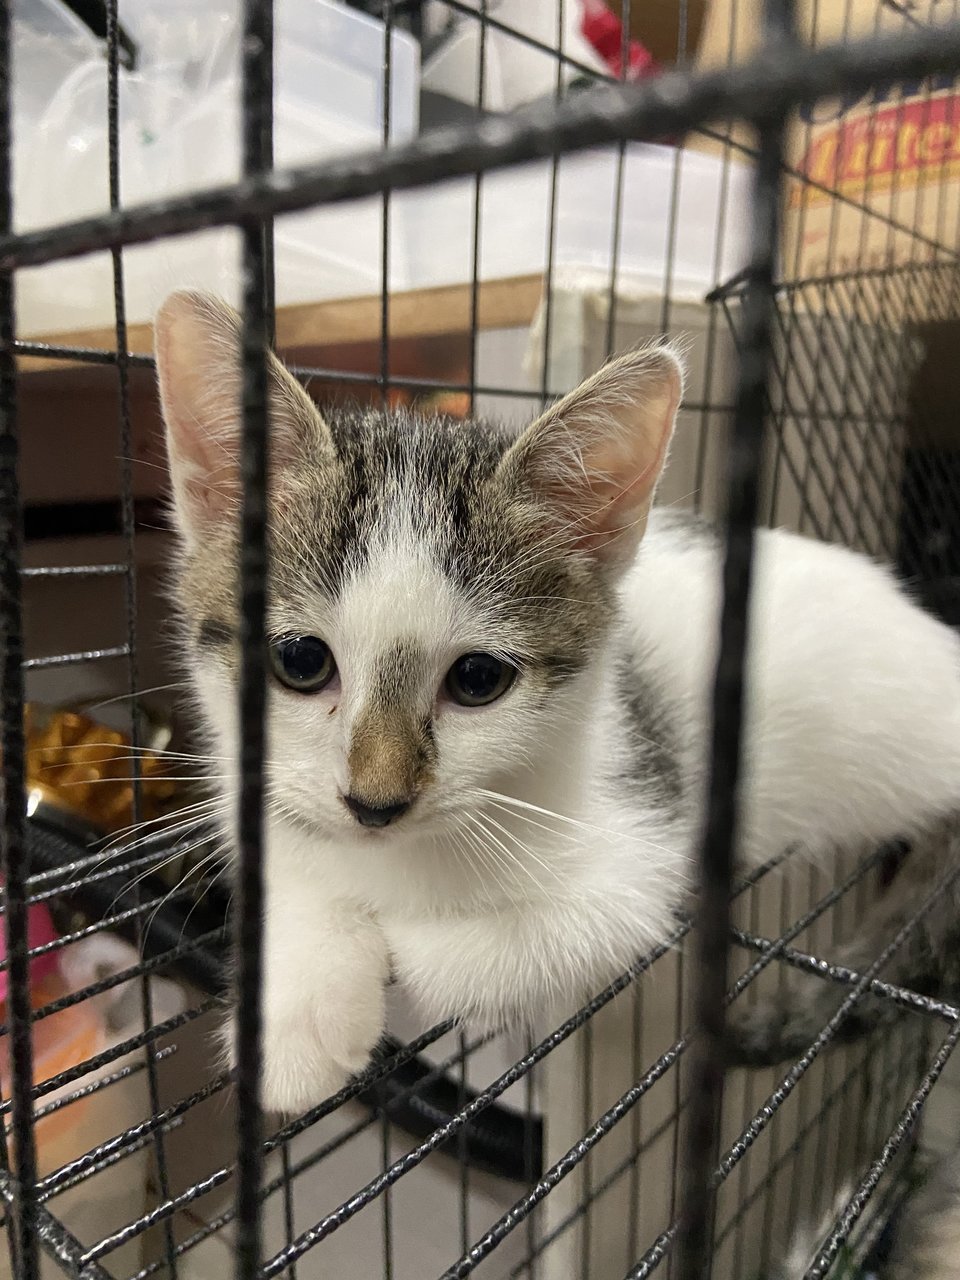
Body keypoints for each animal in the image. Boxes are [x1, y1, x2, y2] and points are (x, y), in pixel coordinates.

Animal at [154, 290, 960, 1111]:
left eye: (478, 680)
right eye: (300, 661)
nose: (375, 804)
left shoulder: (648, 837)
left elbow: (561, 932)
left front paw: (416, 943)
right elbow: (297, 866)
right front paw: (298, 1012)